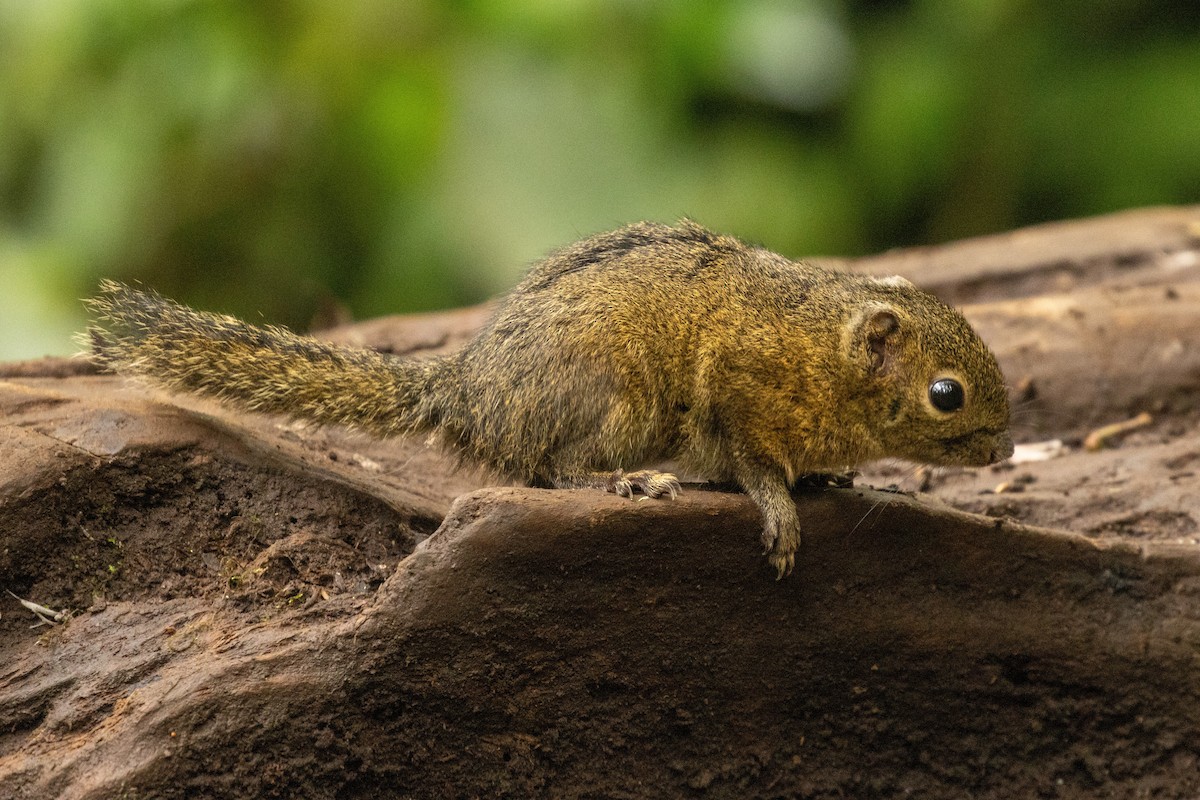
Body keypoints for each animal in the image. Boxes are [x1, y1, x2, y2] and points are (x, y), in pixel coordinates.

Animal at [86, 221, 1013, 578]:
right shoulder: (737, 385)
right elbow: (750, 462)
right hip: (619, 395)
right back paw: (625, 483)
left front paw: (830, 480)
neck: (824, 353)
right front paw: (780, 509)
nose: (1004, 447)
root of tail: (469, 392)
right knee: (548, 470)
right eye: (946, 394)